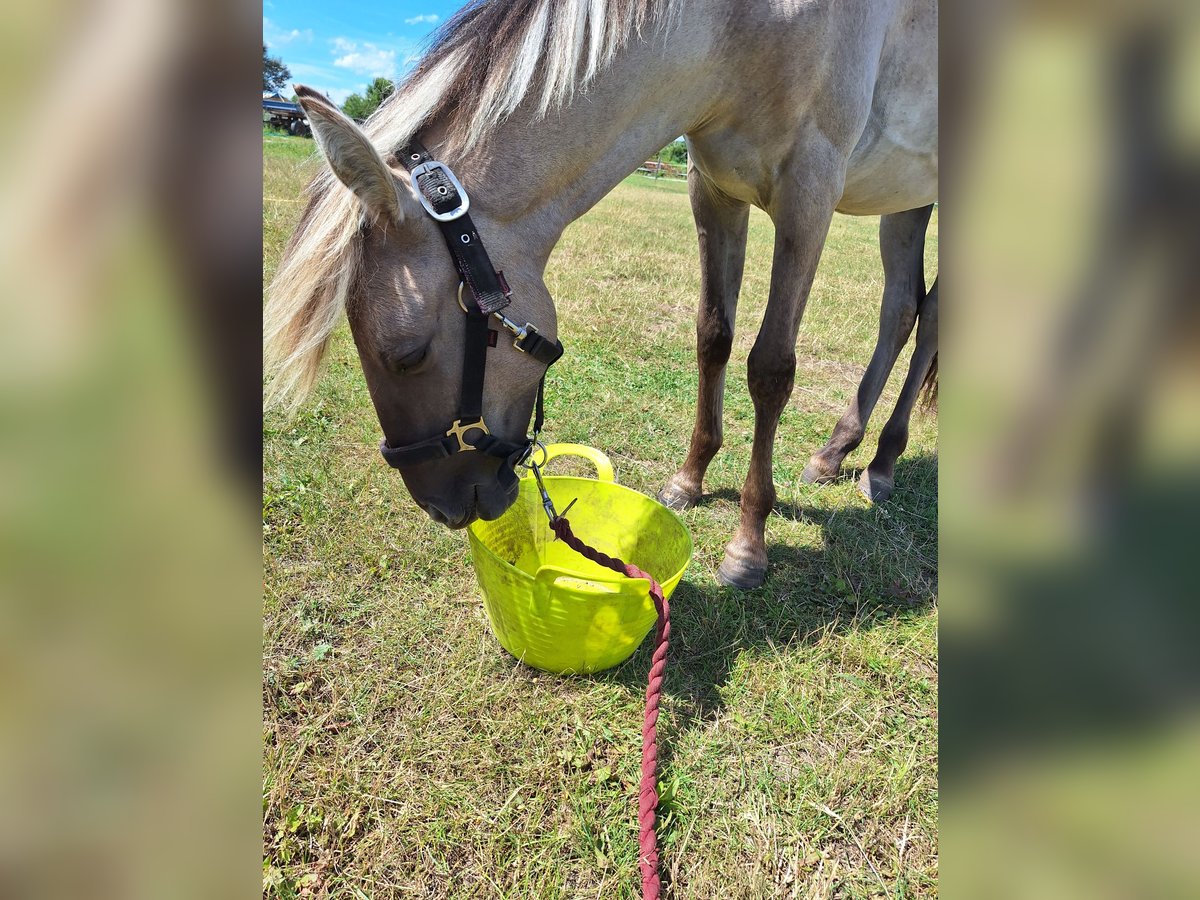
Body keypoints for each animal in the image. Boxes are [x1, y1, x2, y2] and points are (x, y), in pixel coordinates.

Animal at [265, 0, 936, 592]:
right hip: (906, 201)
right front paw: (689, 480)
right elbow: (713, 336)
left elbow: (770, 368)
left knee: (927, 321)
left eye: (407, 355)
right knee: (903, 308)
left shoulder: (810, 195)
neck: (745, 28)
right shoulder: (714, 191)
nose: (439, 505)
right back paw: (836, 452)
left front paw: (747, 547)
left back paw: (881, 465)